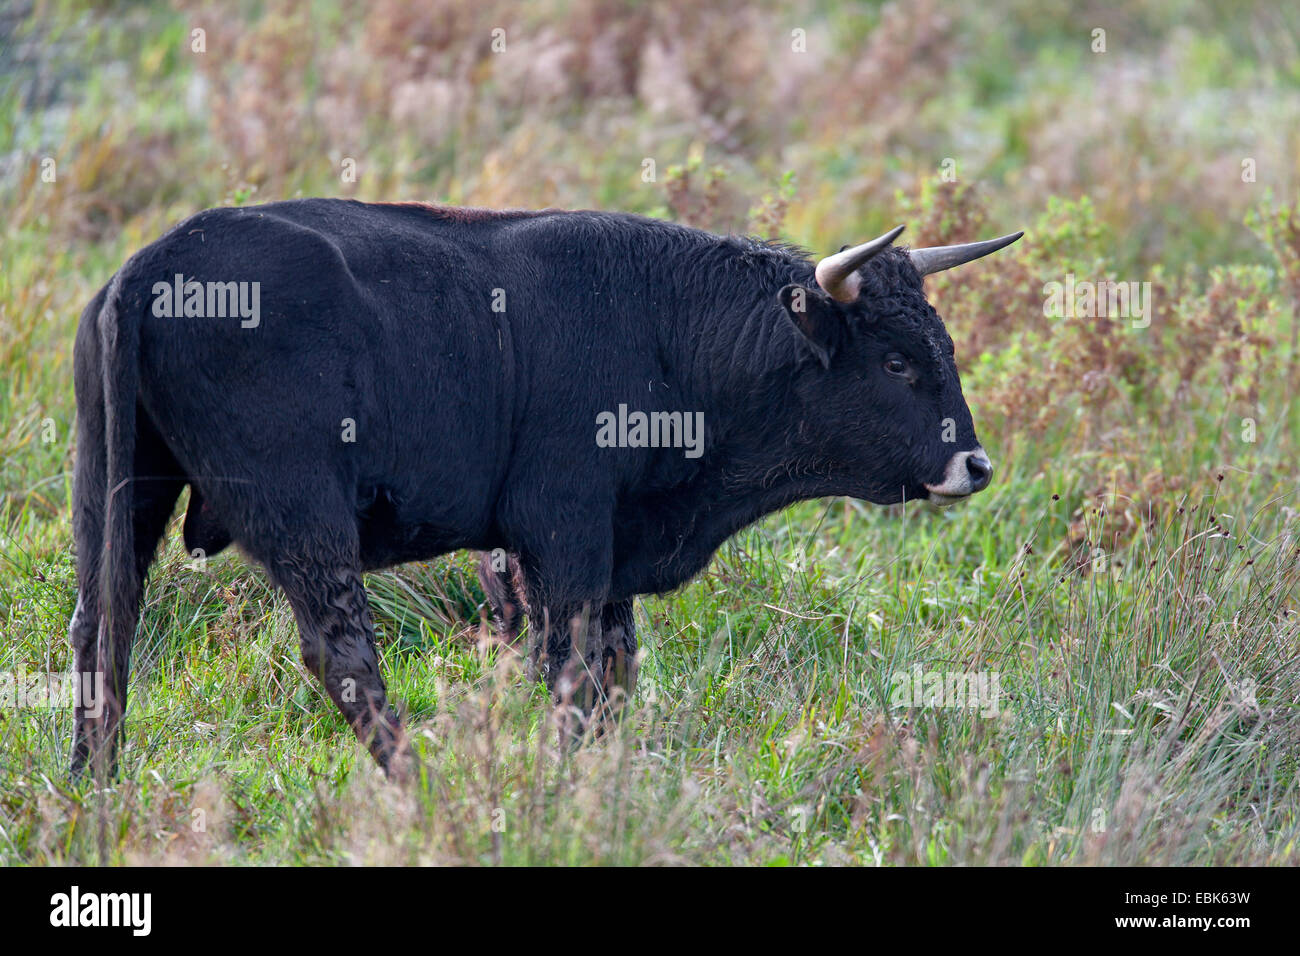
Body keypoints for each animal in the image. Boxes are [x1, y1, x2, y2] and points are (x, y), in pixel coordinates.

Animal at [71, 197, 1019, 775]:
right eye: (895, 360)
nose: (974, 466)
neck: (668, 329)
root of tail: (148, 270)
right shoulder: (563, 537)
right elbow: (571, 668)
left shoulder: (605, 552)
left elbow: (615, 667)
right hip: (303, 516)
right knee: (341, 654)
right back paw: (415, 784)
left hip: (116, 495)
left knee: (101, 626)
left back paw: (94, 785)